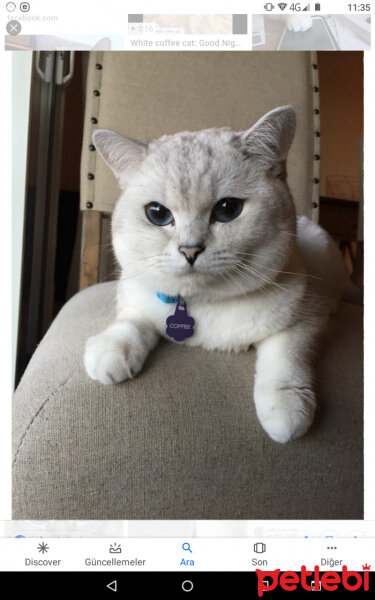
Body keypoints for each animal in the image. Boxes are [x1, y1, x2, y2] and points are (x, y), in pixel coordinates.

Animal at [84, 106, 350, 446]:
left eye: (227, 209)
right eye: (158, 214)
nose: (190, 250)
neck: (203, 304)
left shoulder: (305, 319)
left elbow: (286, 358)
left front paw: (285, 411)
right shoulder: (136, 297)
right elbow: (132, 322)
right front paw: (112, 351)